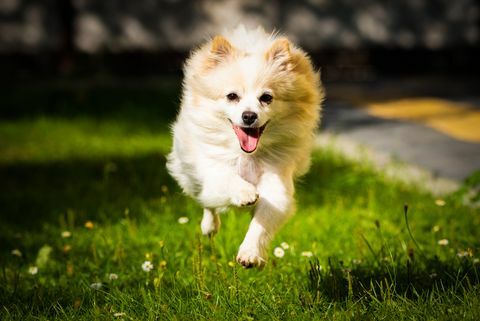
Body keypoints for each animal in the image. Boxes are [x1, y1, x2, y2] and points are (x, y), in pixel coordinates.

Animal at [167, 26, 324, 268]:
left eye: (266, 98)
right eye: (232, 96)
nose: (249, 115)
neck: (247, 155)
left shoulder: (276, 183)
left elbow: (262, 222)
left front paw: (251, 253)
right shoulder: (214, 169)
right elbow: (228, 179)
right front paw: (245, 193)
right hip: (190, 176)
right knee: (206, 201)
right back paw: (209, 226)